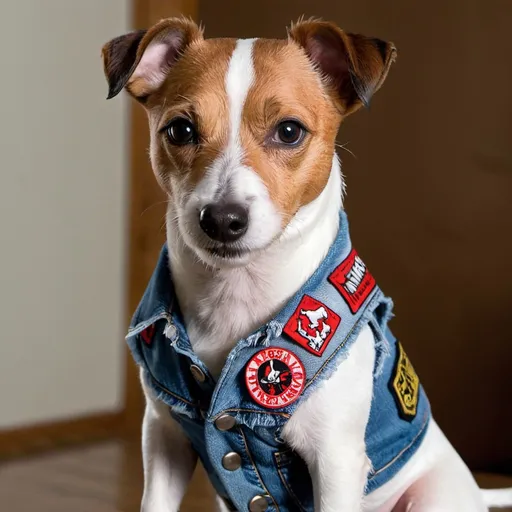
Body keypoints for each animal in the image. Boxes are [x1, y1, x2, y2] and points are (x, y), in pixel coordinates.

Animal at [101, 16, 512, 512]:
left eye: (289, 131)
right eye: (180, 131)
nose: (221, 219)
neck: (236, 295)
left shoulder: (334, 461)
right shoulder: (164, 436)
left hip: (431, 498)